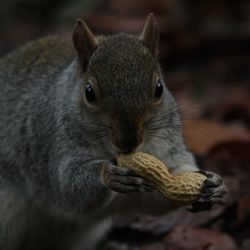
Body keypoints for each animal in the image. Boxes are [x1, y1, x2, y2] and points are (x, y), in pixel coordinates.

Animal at [0, 13, 227, 250]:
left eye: (159, 89)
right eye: (89, 92)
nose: (129, 141)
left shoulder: (165, 152)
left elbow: (165, 189)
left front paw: (214, 184)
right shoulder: (53, 145)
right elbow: (66, 186)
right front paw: (108, 173)